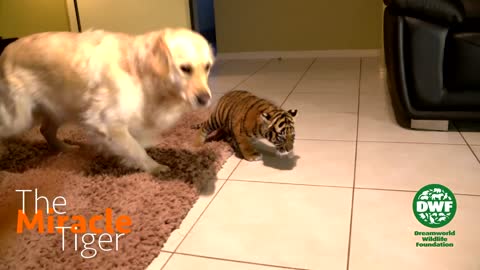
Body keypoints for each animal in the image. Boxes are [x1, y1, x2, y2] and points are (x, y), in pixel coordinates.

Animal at [0, 27, 214, 175]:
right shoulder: (107, 122)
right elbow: (135, 148)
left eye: (207, 67)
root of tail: (6, 51)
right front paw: (154, 167)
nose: (205, 99)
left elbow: (138, 141)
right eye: (185, 68)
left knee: (46, 130)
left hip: (61, 107)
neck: (139, 71)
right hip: (19, 118)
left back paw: (66, 148)